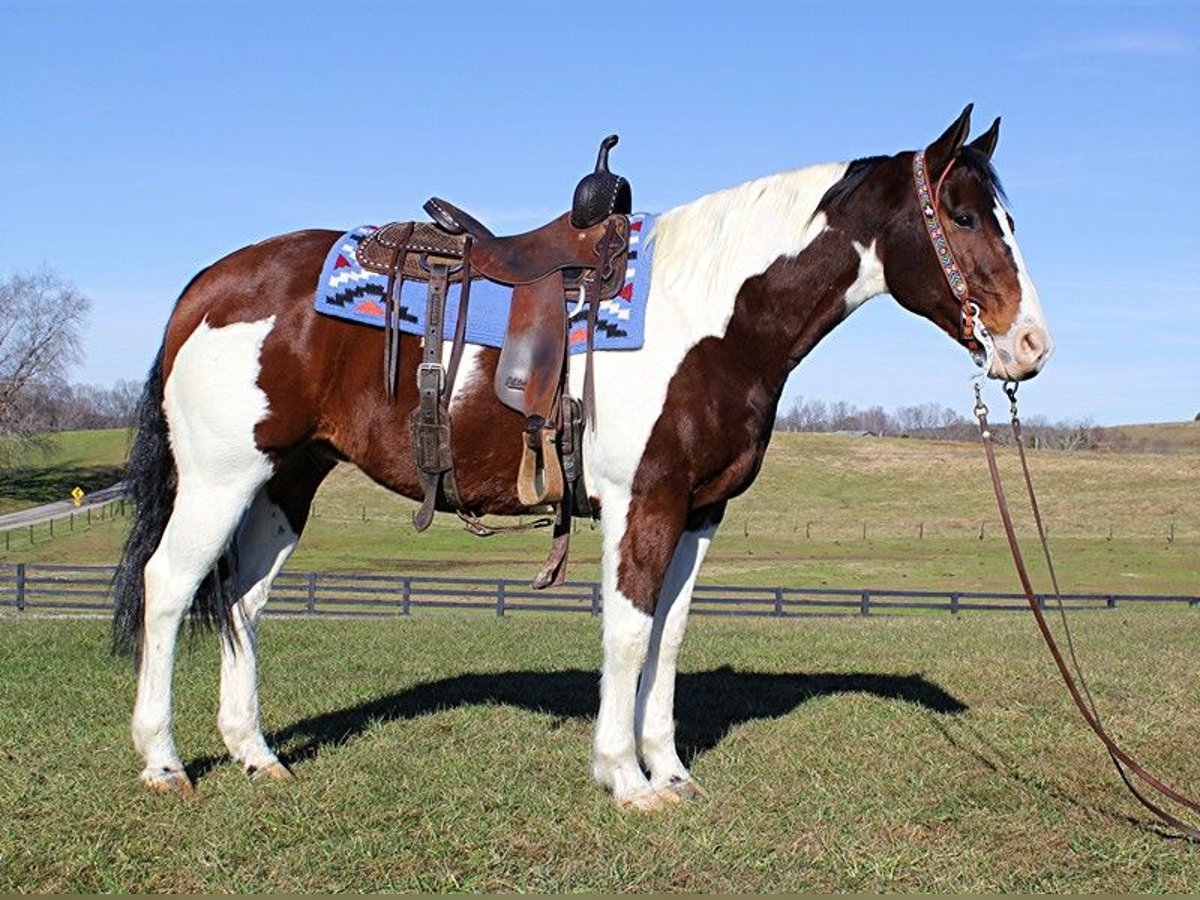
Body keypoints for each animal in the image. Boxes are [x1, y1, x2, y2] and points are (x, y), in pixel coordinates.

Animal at [111, 105, 1053, 810]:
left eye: (1008, 218)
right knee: (170, 587)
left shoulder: (699, 512)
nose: (1031, 346)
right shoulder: (644, 501)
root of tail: (208, 285)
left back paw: (255, 753)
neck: (711, 314)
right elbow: (628, 635)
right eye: (964, 216)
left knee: (243, 600)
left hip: (285, 482)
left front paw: (669, 770)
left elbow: (668, 638)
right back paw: (162, 762)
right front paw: (626, 779)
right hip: (221, 479)